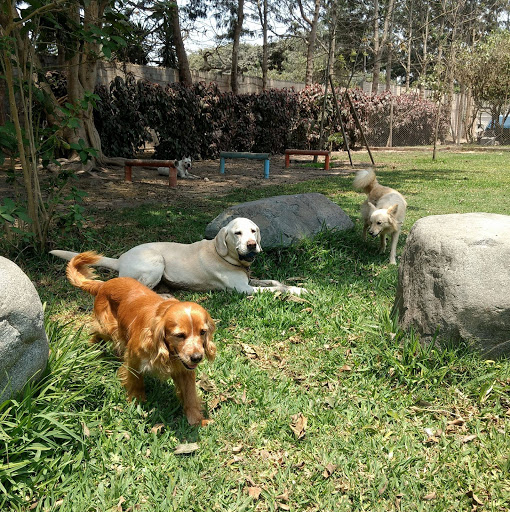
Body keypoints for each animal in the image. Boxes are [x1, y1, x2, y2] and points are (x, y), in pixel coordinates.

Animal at [50, 217, 306, 296]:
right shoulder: (244, 289)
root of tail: (121, 258)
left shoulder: (250, 279)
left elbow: (275, 282)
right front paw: (298, 291)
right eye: (237, 233)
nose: (252, 245)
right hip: (156, 262)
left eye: (253, 231)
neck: (223, 256)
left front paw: (296, 286)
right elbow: (274, 289)